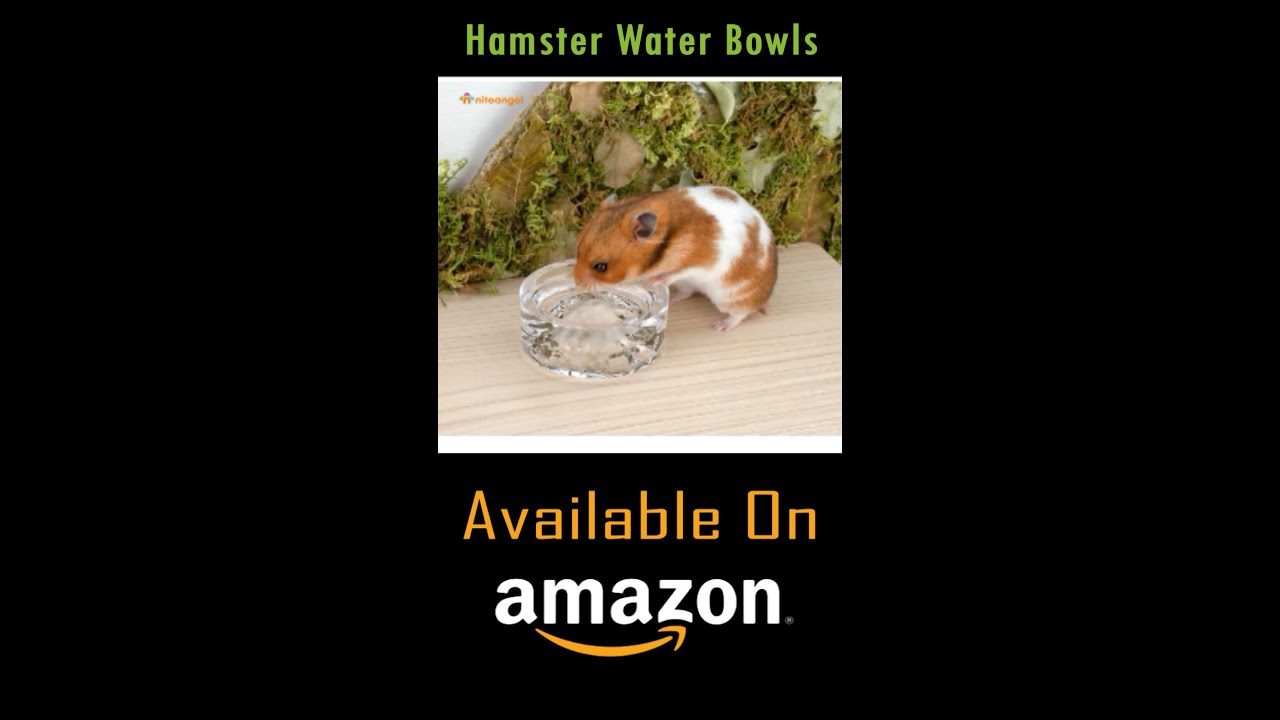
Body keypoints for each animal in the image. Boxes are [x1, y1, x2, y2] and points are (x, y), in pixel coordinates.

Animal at [573, 186, 778, 332]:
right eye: (578, 250)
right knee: (687, 292)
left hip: (731, 297)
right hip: (690, 286)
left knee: (741, 313)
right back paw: (672, 298)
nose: (576, 283)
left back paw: (719, 325)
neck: (667, 240)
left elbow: (675, 272)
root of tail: (765, 297)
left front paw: (654, 281)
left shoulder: (699, 264)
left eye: (601, 267)